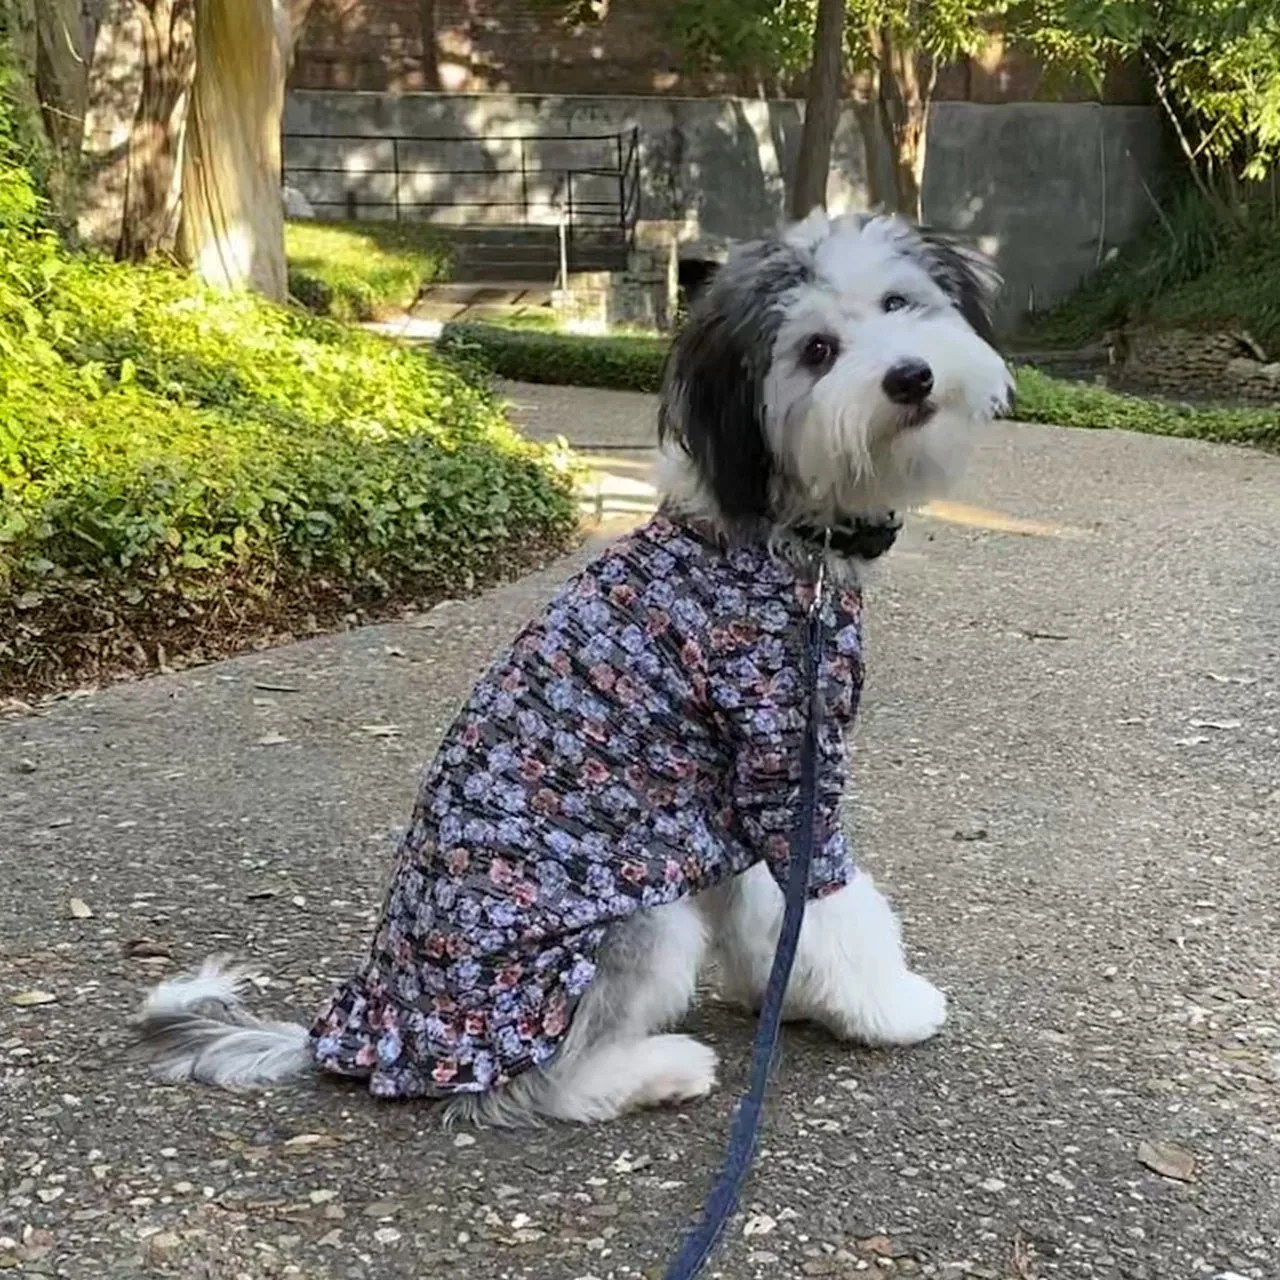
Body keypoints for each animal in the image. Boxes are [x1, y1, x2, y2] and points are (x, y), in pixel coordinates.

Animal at [129, 209, 1008, 1131]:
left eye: (898, 302)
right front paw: (890, 1006)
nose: (910, 377)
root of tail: (358, 1031)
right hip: (634, 922)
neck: (773, 540)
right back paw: (658, 1069)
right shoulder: (784, 770)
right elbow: (835, 908)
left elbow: (764, 915)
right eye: (817, 350)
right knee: (540, 1080)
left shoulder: (720, 810)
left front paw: (785, 996)